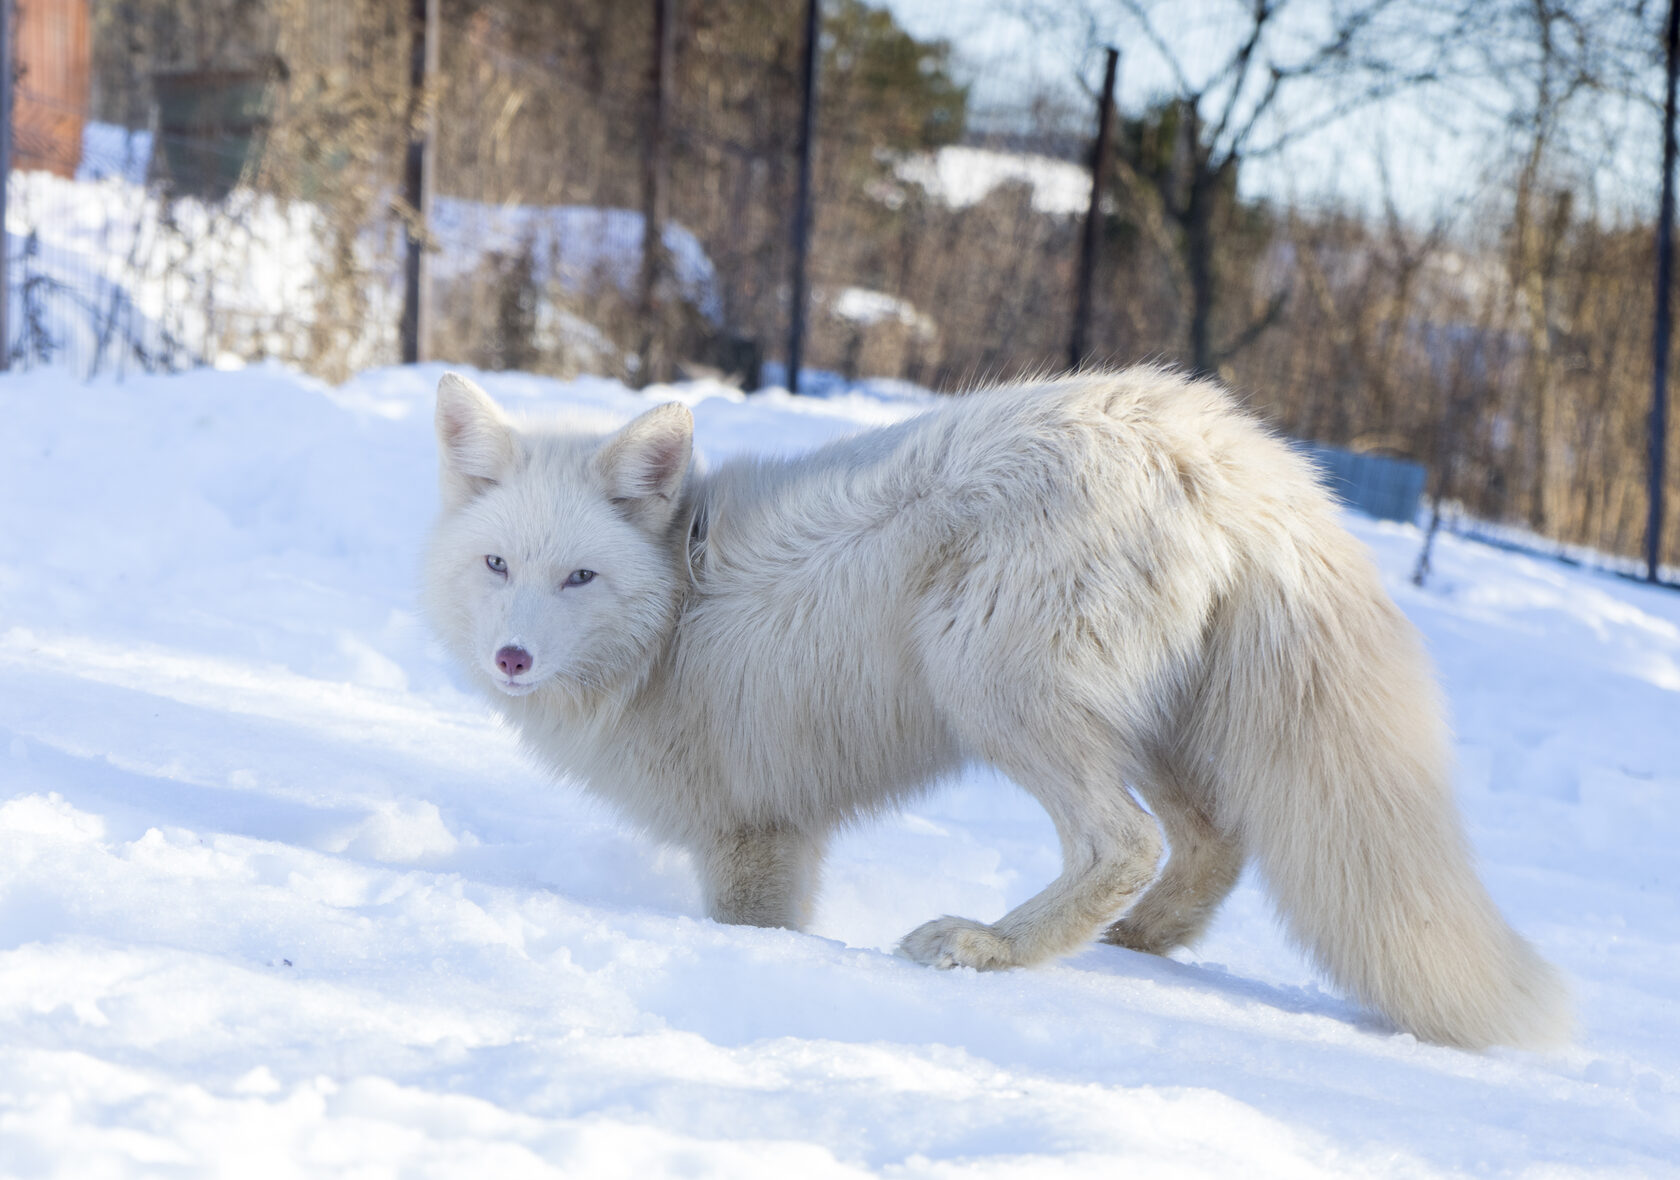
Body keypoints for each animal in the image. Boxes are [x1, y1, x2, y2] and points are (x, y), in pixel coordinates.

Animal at [423, 369, 1572, 1055]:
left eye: (579, 577)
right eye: (497, 566)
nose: (512, 657)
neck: (675, 619)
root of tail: (1225, 445)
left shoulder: (752, 837)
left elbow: (755, 929)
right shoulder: (776, 832)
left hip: (988, 682)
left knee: (1124, 842)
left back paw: (991, 947)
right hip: (1151, 723)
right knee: (1210, 844)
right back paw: (1132, 944)